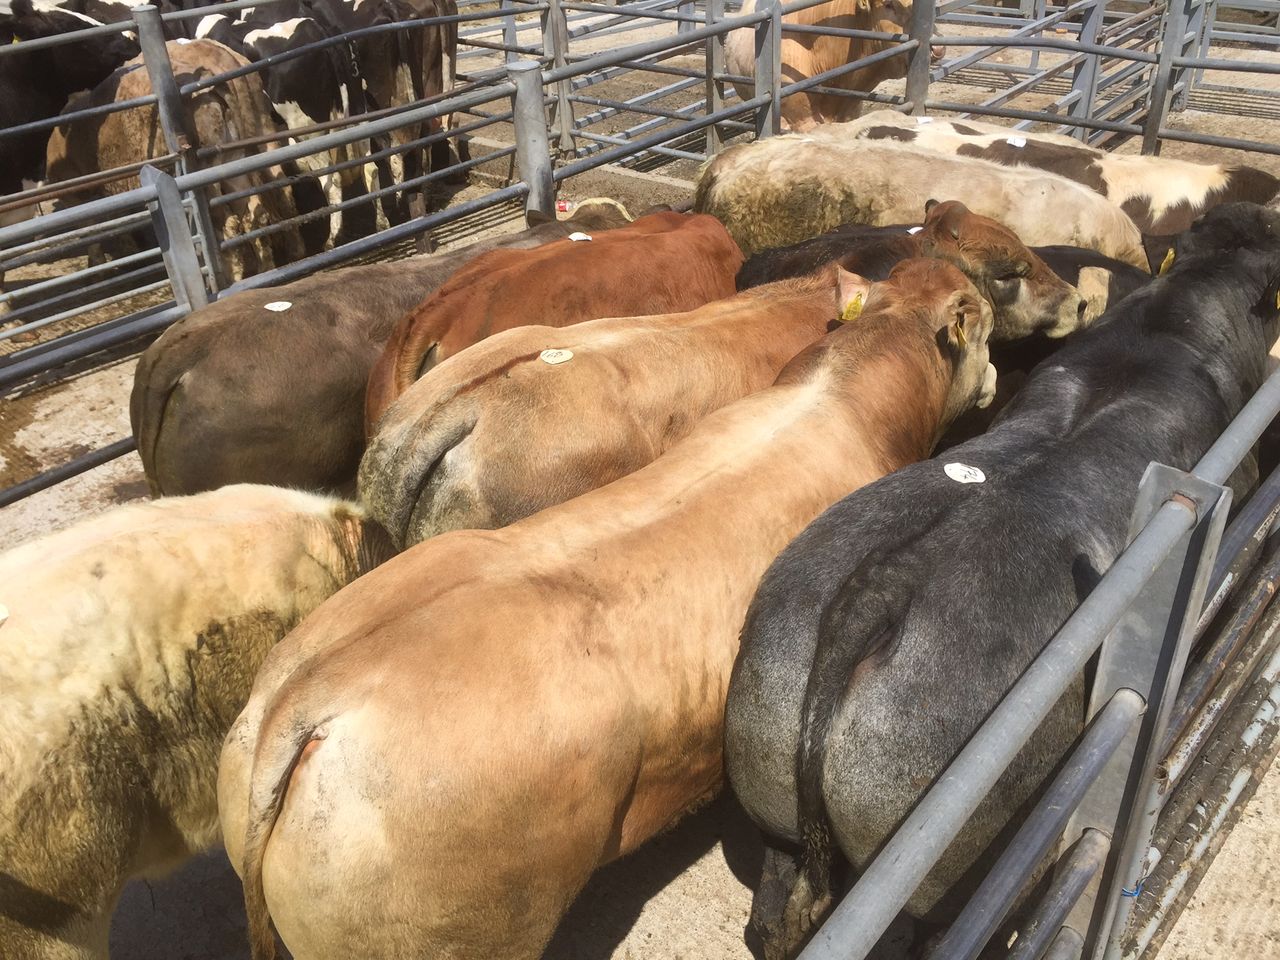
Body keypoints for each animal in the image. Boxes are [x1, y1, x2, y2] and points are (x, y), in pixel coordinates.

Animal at [45, 39, 307, 281]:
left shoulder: (74, 194)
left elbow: (91, 230)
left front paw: (98, 265)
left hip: (210, 171)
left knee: (228, 223)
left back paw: (235, 275)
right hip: (253, 145)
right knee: (268, 205)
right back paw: (283, 260)